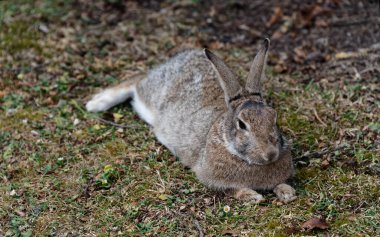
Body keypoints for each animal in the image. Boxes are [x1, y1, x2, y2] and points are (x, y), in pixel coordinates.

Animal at [86, 39, 296, 204]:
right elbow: (231, 189)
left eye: (273, 117)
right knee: (136, 82)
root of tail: (183, 56)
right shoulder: (208, 177)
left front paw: (287, 192)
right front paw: (252, 196)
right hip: (151, 95)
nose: (270, 154)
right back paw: (96, 103)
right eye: (242, 124)